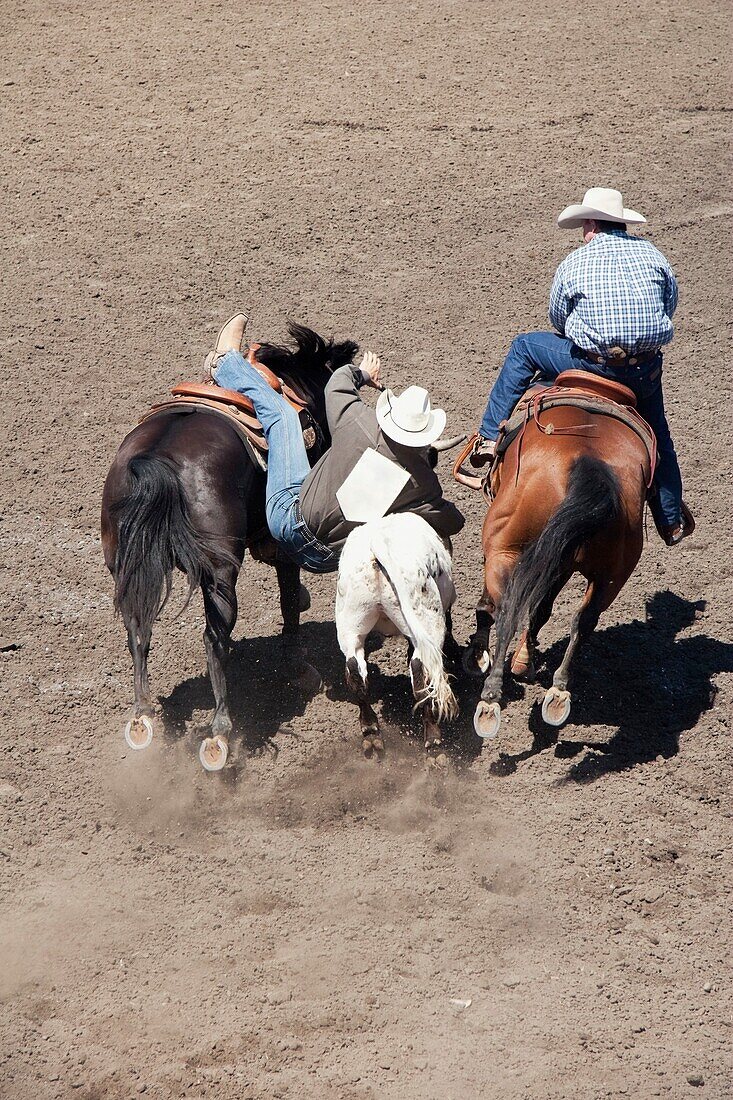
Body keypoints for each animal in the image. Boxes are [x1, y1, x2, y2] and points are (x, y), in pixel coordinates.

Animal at [100, 321, 356, 770]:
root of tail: (155, 459)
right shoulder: (283, 542)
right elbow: (289, 602)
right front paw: (297, 667)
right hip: (219, 576)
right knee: (213, 639)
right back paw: (219, 732)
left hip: (126, 568)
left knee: (137, 630)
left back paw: (143, 716)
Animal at [332, 512, 453, 756]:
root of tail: (376, 543)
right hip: (429, 622)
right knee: (420, 673)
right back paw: (434, 741)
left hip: (350, 627)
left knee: (355, 670)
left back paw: (371, 733)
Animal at [462, 374, 651, 743]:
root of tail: (590, 462)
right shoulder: (559, 558)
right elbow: (543, 609)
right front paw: (525, 660)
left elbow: (492, 608)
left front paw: (478, 657)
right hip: (611, 574)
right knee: (584, 620)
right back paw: (558, 693)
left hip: (505, 550)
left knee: (504, 610)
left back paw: (490, 698)